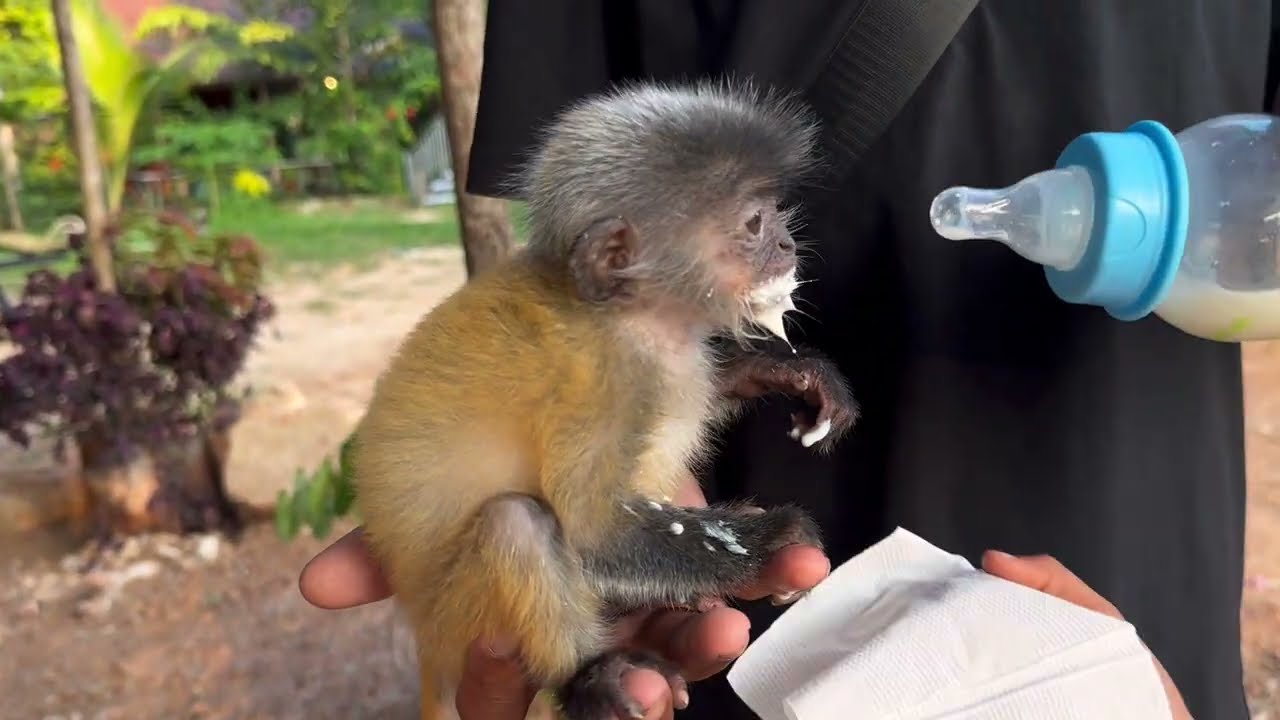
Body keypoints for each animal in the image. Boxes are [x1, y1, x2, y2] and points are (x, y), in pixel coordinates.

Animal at [350, 79, 859, 720]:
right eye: (753, 223)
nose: (788, 244)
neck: (625, 318)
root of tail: (424, 637)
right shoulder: (602, 379)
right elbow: (592, 533)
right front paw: (768, 540)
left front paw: (792, 373)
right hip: (461, 621)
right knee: (517, 523)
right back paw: (589, 677)